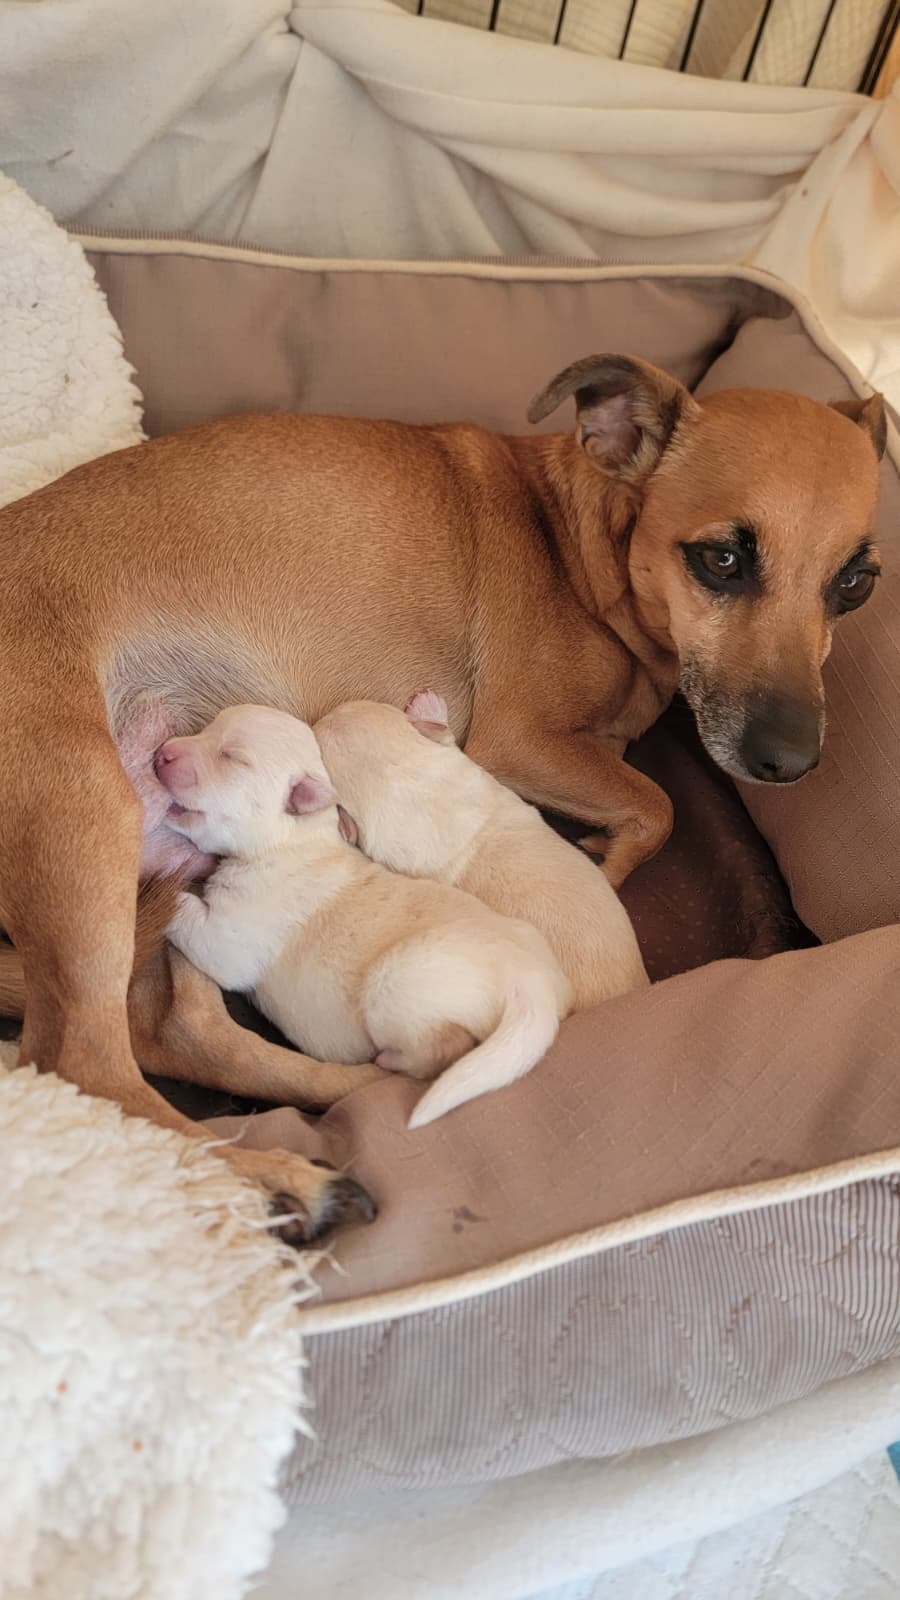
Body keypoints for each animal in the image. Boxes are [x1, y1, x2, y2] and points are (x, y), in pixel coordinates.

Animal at [156, 705, 572, 1128]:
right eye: (207, 730)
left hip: (399, 985)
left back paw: (392, 1060)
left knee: (445, 1048)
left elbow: (194, 920)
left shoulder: (231, 935)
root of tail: (532, 984)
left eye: (233, 757)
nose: (162, 753)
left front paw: (159, 885)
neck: (295, 842)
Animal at [316, 693, 649, 1008]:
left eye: (367, 706)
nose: (324, 717)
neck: (406, 778)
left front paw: (427, 707)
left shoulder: (452, 764)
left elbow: (445, 737)